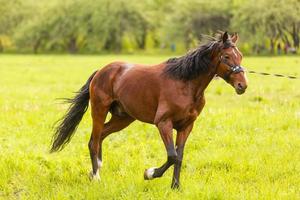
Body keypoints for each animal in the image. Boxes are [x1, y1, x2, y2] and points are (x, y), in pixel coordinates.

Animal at [51, 32, 248, 188]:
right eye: (227, 57)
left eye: (240, 56)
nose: (242, 85)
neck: (185, 84)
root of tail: (101, 71)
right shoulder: (163, 123)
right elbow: (172, 156)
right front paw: (150, 173)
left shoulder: (186, 126)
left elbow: (180, 156)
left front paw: (175, 187)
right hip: (99, 110)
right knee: (93, 141)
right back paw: (96, 177)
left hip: (123, 118)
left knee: (100, 136)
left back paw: (95, 170)